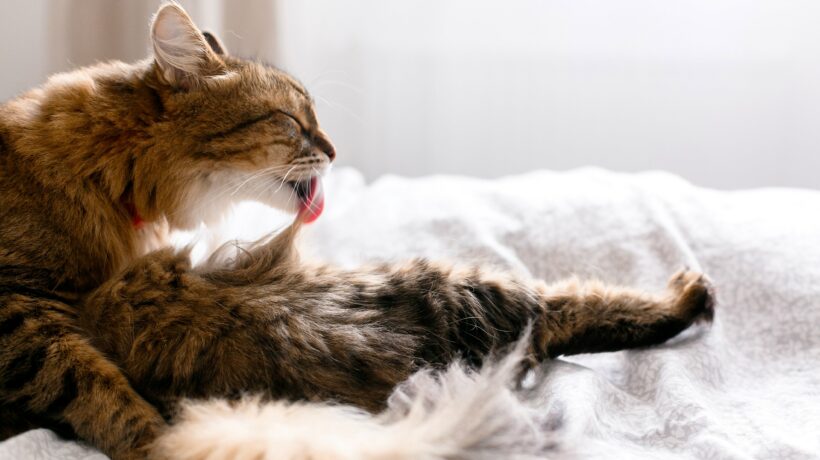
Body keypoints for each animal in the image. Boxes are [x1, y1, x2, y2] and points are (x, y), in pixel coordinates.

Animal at [0, 3, 716, 460]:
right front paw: (159, 439)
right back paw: (690, 292)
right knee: (569, 312)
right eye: (293, 122)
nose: (335, 151)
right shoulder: (22, 311)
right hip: (457, 288)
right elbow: (98, 390)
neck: (107, 169)